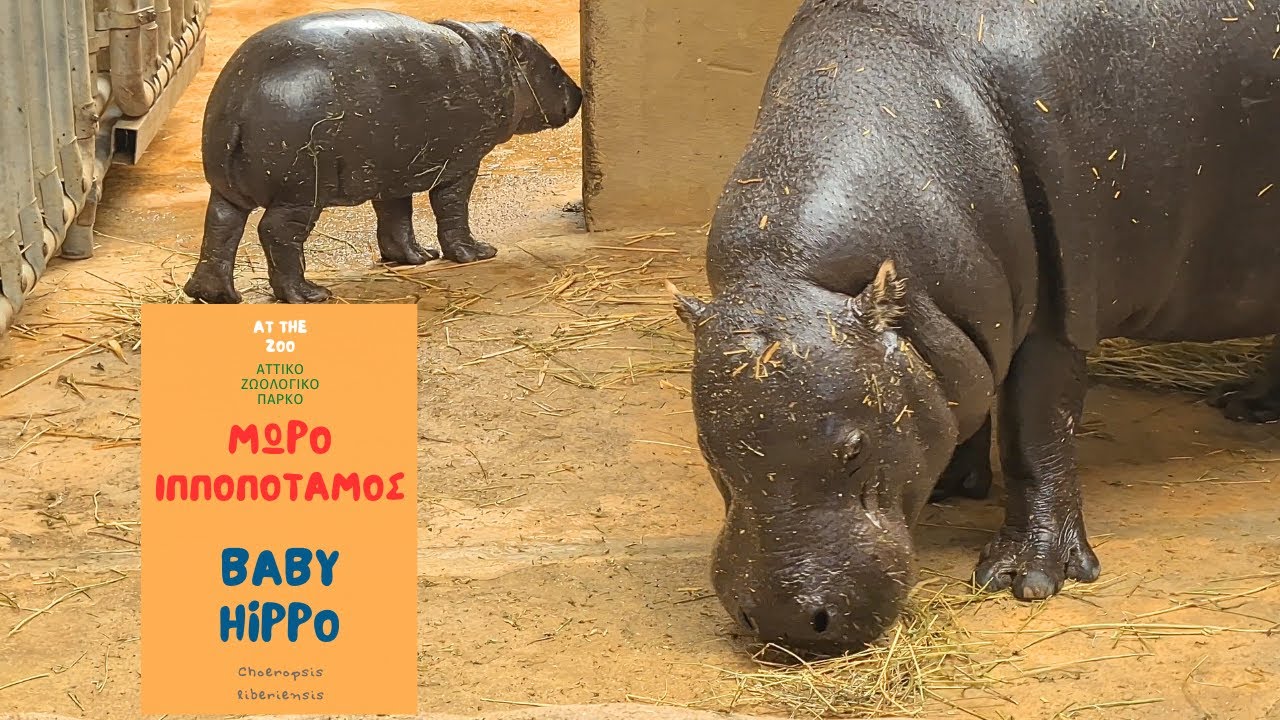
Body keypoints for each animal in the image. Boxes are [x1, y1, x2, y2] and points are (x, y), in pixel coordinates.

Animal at [183, 10, 581, 304]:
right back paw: (310, 295)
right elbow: (452, 208)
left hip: (226, 186)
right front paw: (478, 253)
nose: (580, 93)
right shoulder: (464, 162)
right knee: (276, 233)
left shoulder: (392, 169)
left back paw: (214, 295)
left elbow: (395, 216)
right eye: (552, 67)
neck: (495, 62)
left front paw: (416, 258)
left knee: (219, 226)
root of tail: (240, 97)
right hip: (302, 190)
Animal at [671, 0, 1280, 655]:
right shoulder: (961, 314)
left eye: (855, 449)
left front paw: (1025, 580)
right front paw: (951, 485)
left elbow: (1036, 436)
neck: (793, 276)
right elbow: (964, 383)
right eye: (708, 447)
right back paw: (1243, 405)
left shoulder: (1056, 313)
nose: (784, 623)